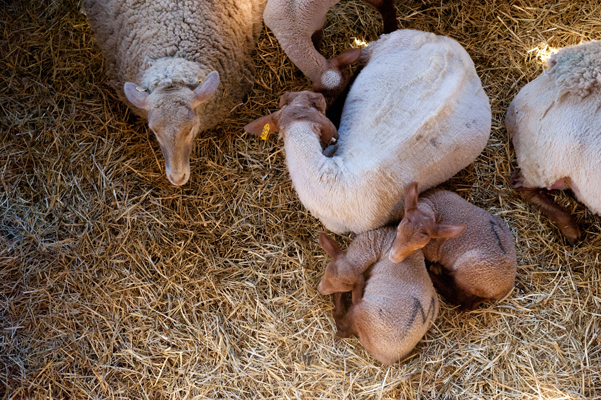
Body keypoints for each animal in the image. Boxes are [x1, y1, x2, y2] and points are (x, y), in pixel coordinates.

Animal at [316, 228, 438, 366]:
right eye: (327, 270)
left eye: (345, 287)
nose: (320, 289)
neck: (380, 241)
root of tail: (389, 358)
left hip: (363, 313)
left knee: (343, 329)